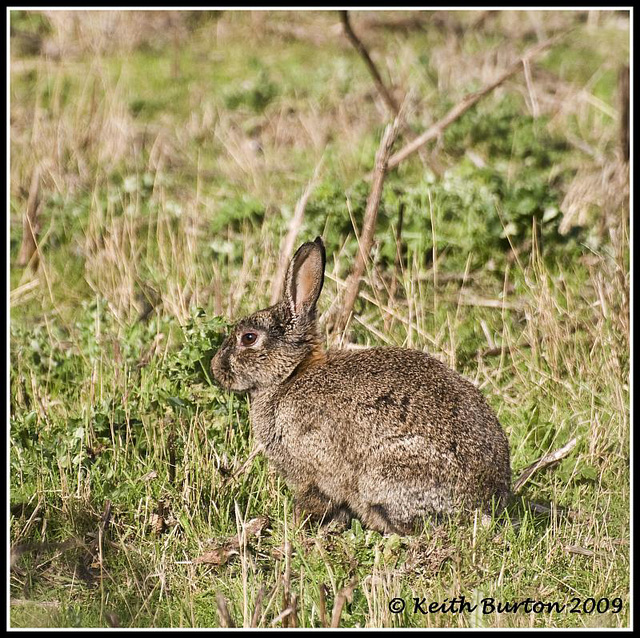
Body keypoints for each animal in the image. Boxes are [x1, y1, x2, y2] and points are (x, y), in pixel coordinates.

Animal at [212, 238, 512, 536]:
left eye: (249, 338)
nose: (216, 368)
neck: (289, 375)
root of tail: (486, 501)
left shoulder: (314, 469)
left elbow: (312, 499)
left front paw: (295, 527)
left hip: (389, 473)